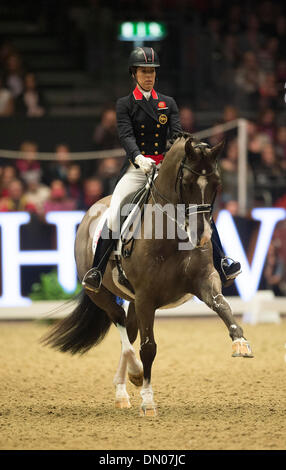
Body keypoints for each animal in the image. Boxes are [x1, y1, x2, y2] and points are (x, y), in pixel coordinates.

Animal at [42, 134, 252, 416]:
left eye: (217, 184)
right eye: (187, 183)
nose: (201, 236)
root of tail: (95, 206)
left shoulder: (205, 281)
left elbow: (223, 305)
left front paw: (240, 342)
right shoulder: (146, 298)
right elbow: (148, 348)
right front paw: (148, 400)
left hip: (132, 301)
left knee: (128, 333)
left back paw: (122, 391)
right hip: (101, 294)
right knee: (120, 324)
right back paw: (133, 375)